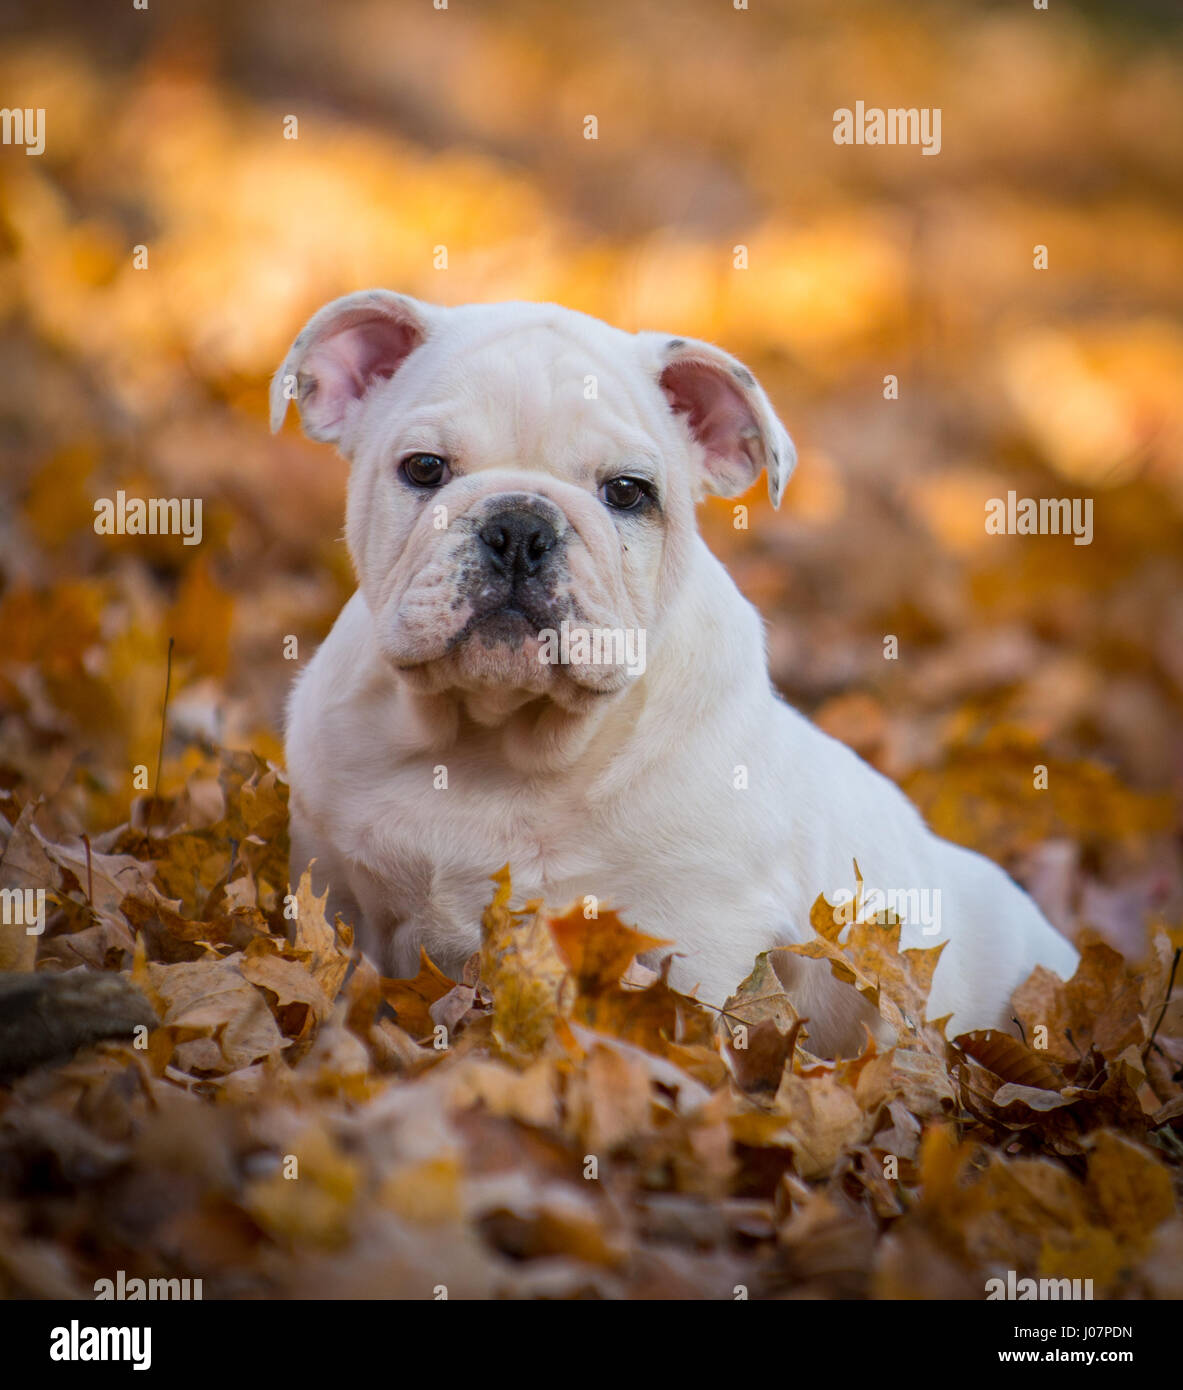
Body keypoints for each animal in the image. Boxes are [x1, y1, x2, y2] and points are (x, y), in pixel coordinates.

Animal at [271, 293, 1084, 1050]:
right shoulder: (334, 883)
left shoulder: (698, 936)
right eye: (424, 470)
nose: (519, 526)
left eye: (628, 492)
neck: (494, 742)